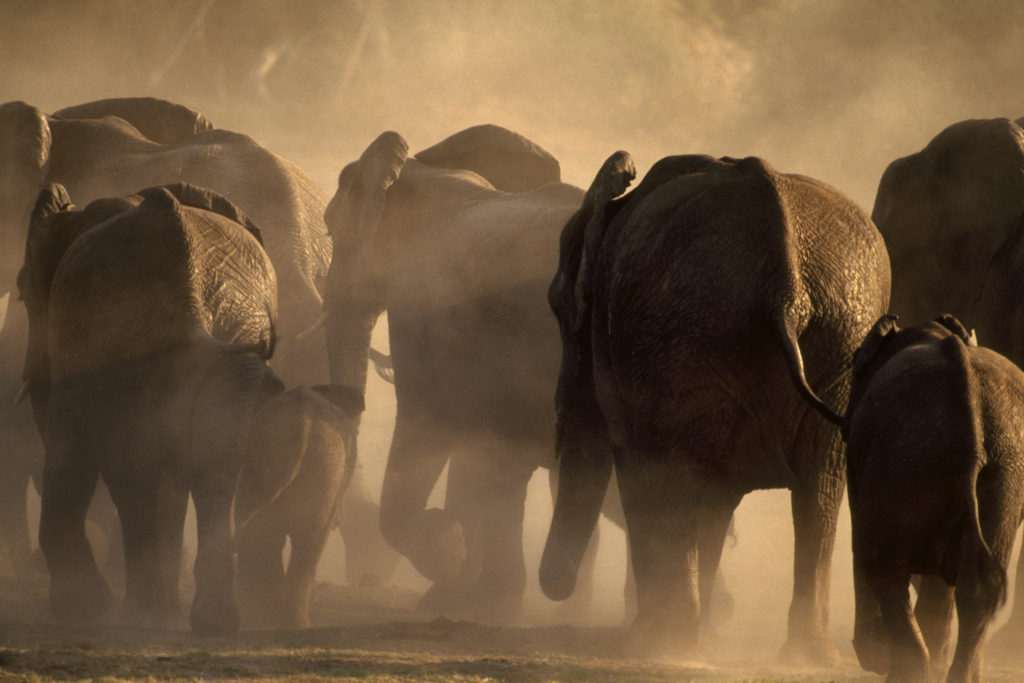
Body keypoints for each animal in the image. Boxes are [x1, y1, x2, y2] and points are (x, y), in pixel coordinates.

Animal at [19, 181, 276, 634]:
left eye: (19, 293)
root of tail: (190, 289)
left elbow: (69, 452)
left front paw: (83, 608)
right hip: (235, 346)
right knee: (214, 464)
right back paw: (210, 621)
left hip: (125, 342)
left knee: (130, 473)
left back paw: (140, 616)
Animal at [233, 382, 364, 626]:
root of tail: (303, 425)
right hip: (322, 470)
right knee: (304, 544)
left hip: (269, 462)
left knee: (268, 538)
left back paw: (267, 621)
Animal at [540, 150, 892, 663]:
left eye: (557, 308)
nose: (554, 587)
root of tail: (788, 289)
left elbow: (638, 463)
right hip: (836, 339)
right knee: (820, 486)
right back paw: (800, 655)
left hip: (687, 334)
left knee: (679, 473)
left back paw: (663, 641)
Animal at [839, 313, 1024, 679]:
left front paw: (875, 654)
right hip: (1002, 473)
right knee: (976, 587)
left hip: (905, 462)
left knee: (883, 568)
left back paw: (906, 672)